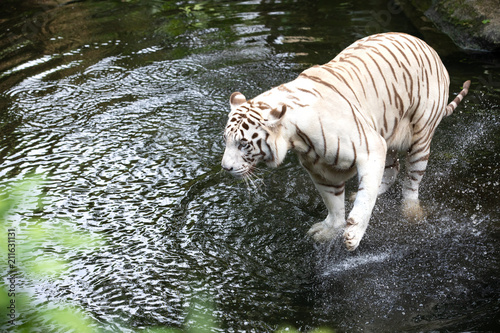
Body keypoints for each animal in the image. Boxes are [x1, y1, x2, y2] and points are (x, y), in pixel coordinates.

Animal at [221, 31, 470, 249]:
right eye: (226, 140)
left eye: (243, 144)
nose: (225, 168)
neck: (297, 137)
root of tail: (429, 47)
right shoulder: (320, 168)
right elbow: (333, 202)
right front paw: (331, 229)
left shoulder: (370, 148)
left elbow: (366, 199)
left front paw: (353, 235)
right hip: (387, 132)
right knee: (392, 168)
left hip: (419, 136)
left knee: (411, 180)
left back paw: (411, 212)